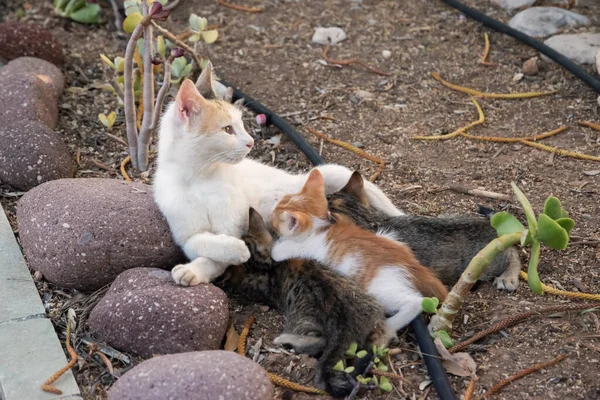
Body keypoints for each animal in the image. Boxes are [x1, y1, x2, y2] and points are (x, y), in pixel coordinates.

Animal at [152, 61, 404, 288]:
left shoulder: (235, 223)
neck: (199, 179)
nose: (251, 142)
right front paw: (222, 253)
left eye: (241, 125)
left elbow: (219, 258)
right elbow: (197, 243)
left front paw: (208, 263)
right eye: (227, 130)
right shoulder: (183, 233)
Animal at [218, 208, 386, 396]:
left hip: (302, 321)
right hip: (373, 308)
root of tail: (343, 324)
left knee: (320, 341)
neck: (266, 266)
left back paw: (286, 340)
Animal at [270, 170, 448, 342]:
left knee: (415, 302)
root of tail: (414, 266)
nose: (271, 213)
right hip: (386, 235)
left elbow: (277, 251)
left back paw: (388, 326)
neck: (319, 228)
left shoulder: (299, 247)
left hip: (379, 288)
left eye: (276, 216)